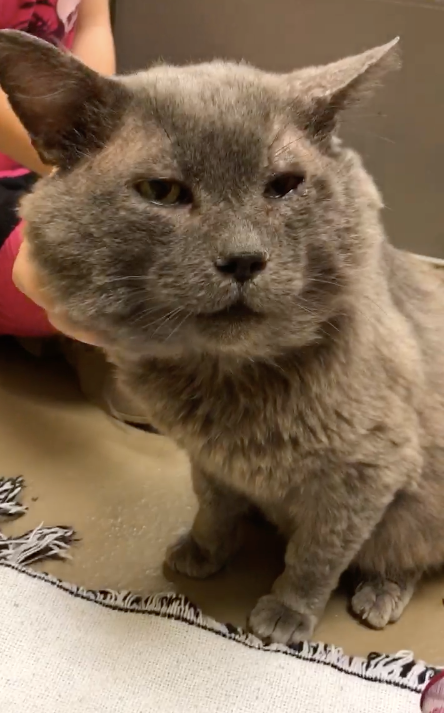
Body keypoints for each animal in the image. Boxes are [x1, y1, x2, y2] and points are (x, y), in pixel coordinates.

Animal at [1, 29, 442, 644]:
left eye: (284, 185)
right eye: (161, 191)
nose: (243, 259)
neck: (225, 378)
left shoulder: (369, 472)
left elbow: (318, 552)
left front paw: (286, 613)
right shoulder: (207, 458)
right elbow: (214, 505)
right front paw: (202, 551)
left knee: (408, 551)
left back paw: (380, 593)